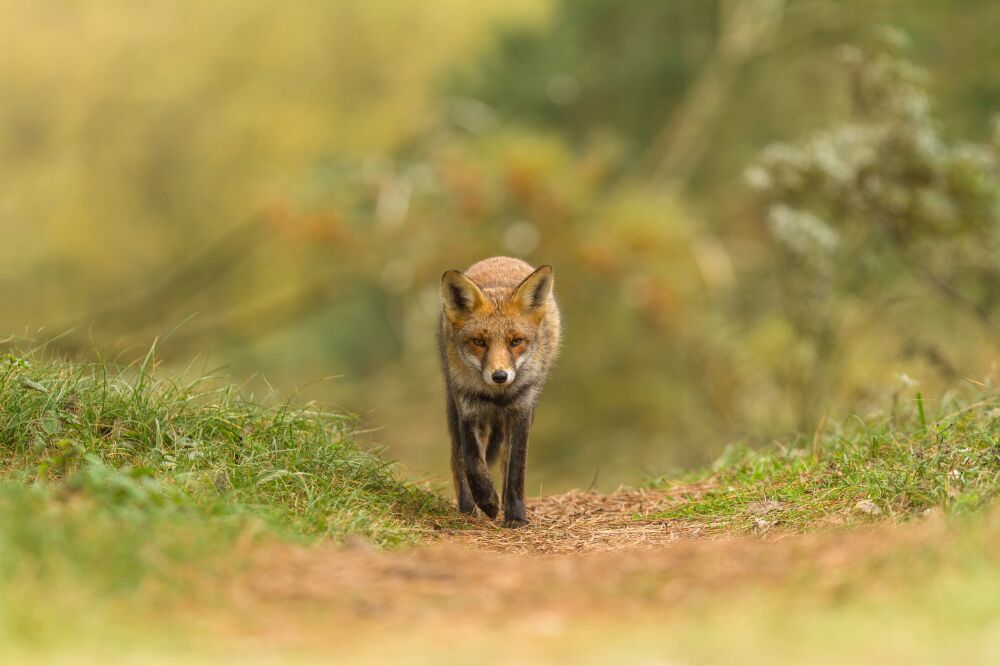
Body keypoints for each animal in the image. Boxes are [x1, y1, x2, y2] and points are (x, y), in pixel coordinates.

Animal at [438, 256, 564, 528]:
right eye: (479, 342)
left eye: (515, 342)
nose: (499, 376)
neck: (498, 396)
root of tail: (501, 259)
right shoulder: (468, 408)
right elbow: (472, 462)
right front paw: (486, 500)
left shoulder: (522, 410)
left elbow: (516, 468)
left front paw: (515, 516)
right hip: (454, 405)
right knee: (457, 459)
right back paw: (467, 507)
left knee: (505, 459)